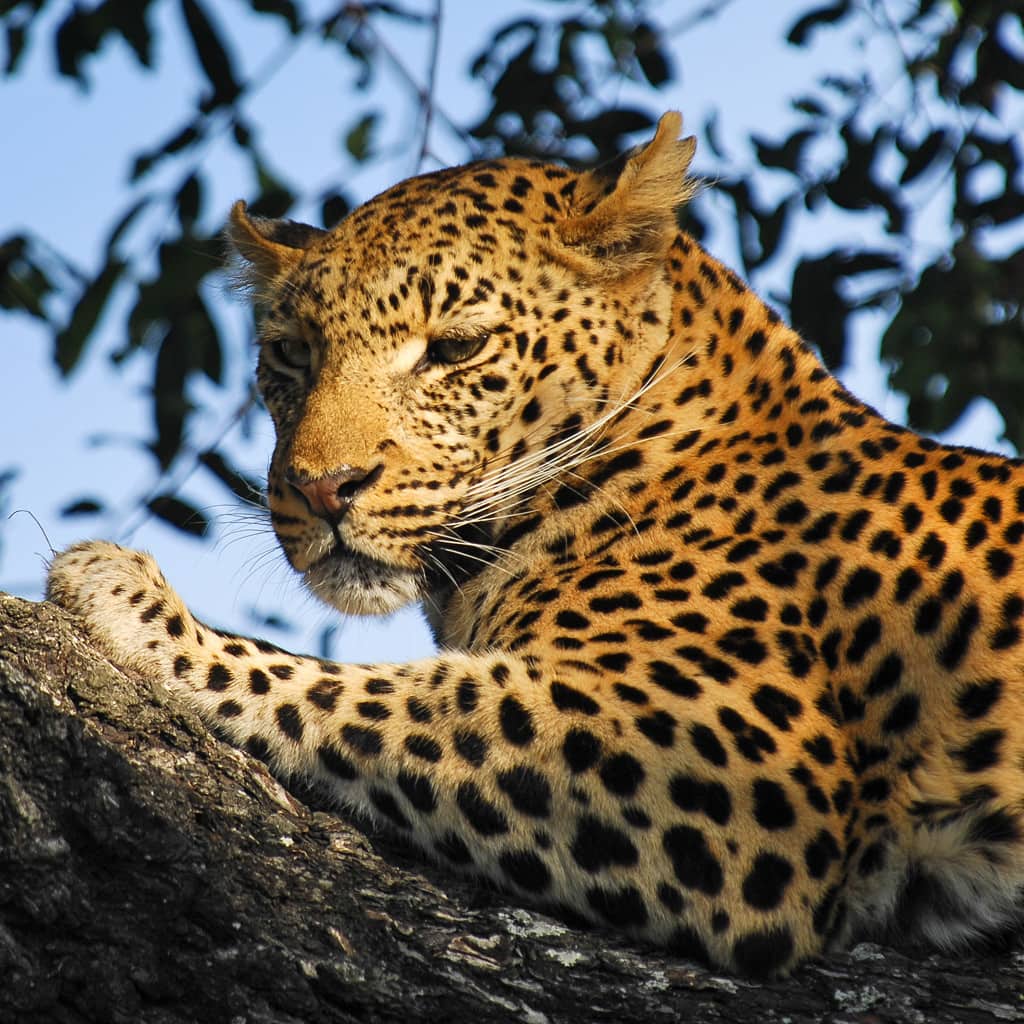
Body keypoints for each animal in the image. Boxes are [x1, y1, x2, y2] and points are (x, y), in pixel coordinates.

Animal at [47, 112, 1024, 978]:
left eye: (455, 349)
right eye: (290, 355)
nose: (322, 489)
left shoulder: (730, 759)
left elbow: (374, 695)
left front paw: (129, 599)